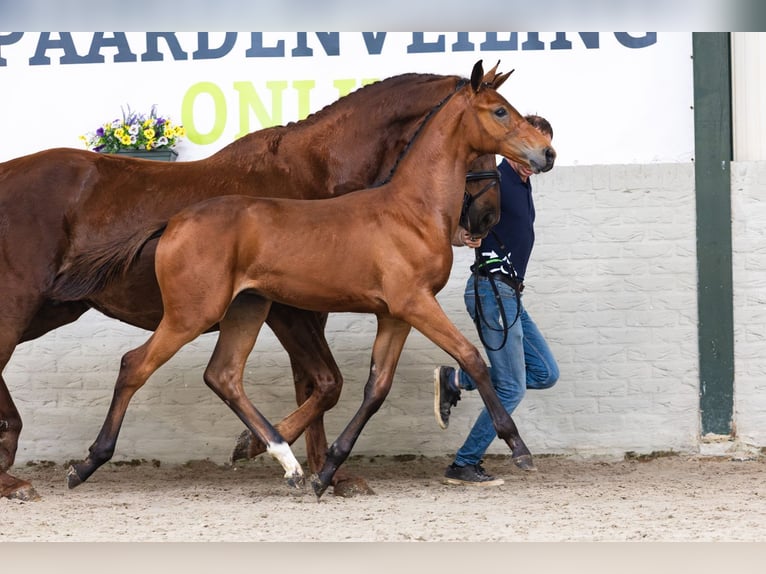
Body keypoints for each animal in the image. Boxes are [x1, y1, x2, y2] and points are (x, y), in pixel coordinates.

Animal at [0, 64, 516, 501]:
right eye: (493, 128)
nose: (487, 217)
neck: (311, 174)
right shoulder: (290, 311)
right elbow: (326, 384)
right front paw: (282, 455)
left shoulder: (296, 308)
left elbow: (313, 386)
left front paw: (311, 465)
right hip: (21, 304)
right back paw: (16, 475)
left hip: (52, 309)